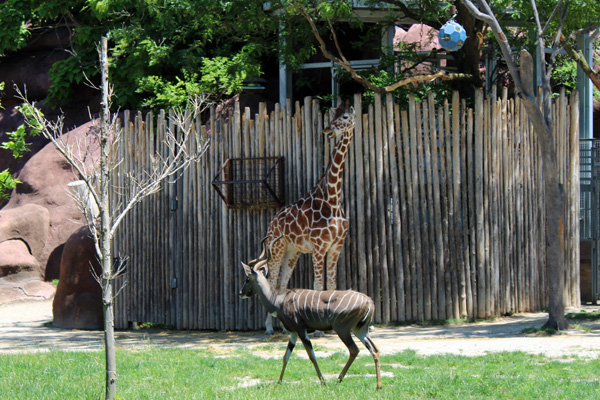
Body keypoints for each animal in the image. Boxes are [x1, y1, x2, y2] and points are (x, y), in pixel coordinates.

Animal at [262, 99, 356, 334]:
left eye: (345, 117)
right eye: (333, 115)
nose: (327, 129)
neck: (333, 199)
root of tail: (271, 223)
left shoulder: (336, 246)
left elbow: (331, 285)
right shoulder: (319, 247)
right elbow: (318, 285)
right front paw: (319, 328)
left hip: (292, 252)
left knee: (282, 284)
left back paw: (285, 327)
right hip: (277, 248)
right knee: (272, 280)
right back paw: (268, 328)